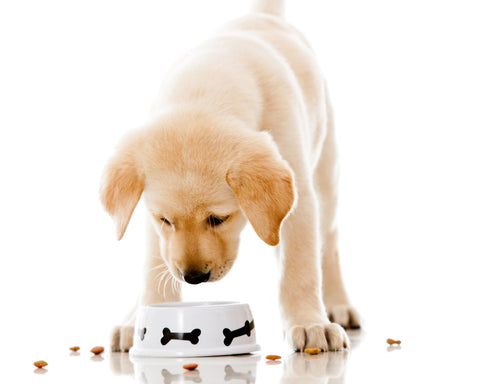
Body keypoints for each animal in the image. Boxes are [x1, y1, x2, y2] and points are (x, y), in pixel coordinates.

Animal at [100, 0, 360, 352]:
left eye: (218, 219)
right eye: (165, 220)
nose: (193, 277)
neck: (207, 87)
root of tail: (263, 15)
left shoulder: (301, 200)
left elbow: (299, 267)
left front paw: (310, 323)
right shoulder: (150, 219)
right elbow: (154, 264)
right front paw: (144, 317)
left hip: (325, 175)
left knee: (327, 243)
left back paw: (336, 304)